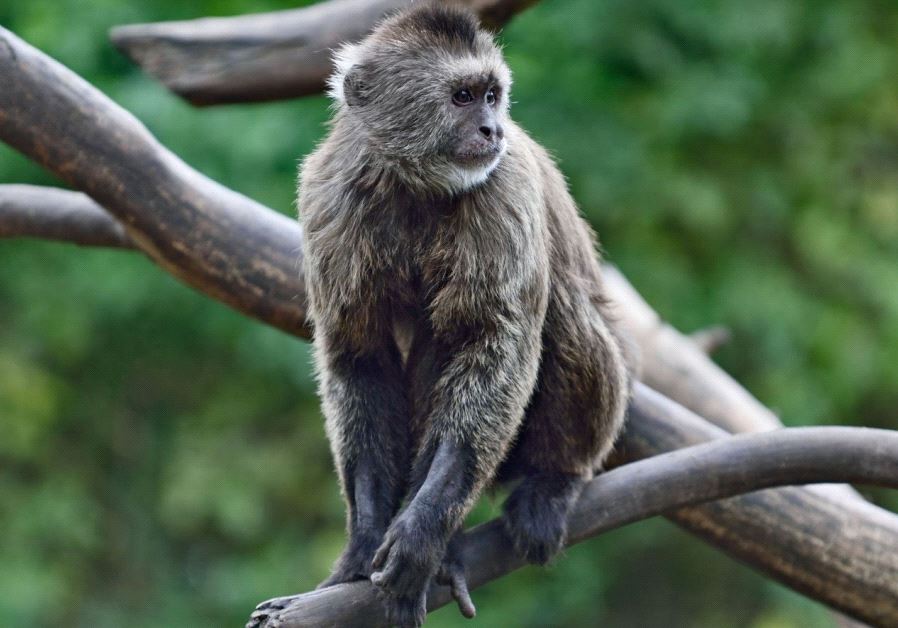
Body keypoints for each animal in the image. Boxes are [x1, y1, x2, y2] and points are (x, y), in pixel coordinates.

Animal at [249, 4, 632, 627]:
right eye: (462, 97)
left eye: (492, 96)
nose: (492, 129)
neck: (416, 186)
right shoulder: (329, 197)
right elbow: (360, 356)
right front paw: (365, 538)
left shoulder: (504, 189)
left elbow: (493, 345)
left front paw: (423, 532)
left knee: (558, 318)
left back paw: (550, 481)